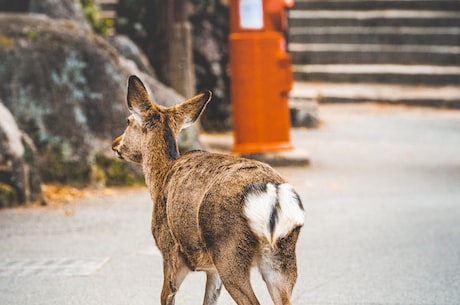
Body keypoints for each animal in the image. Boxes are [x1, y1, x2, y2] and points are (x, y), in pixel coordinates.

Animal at [112, 75, 306, 304]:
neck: (159, 180)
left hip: (229, 251)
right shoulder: (211, 270)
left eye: (128, 121)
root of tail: (274, 195)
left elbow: (166, 296)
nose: (115, 143)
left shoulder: (170, 251)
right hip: (281, 257)